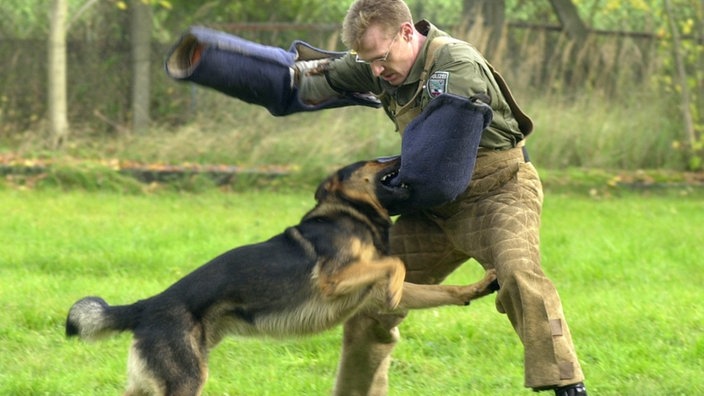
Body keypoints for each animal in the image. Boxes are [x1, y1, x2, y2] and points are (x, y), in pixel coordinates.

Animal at [64, 158, 496, 396]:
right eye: (374, 162)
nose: (401, 151)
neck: (349, 214)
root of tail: (147, 306)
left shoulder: (365, 288)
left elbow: (439, 289)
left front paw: (481, 285)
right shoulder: (334, 279)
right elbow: (395, 265)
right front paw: (393, 289)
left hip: (153, 382)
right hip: (185, 380)